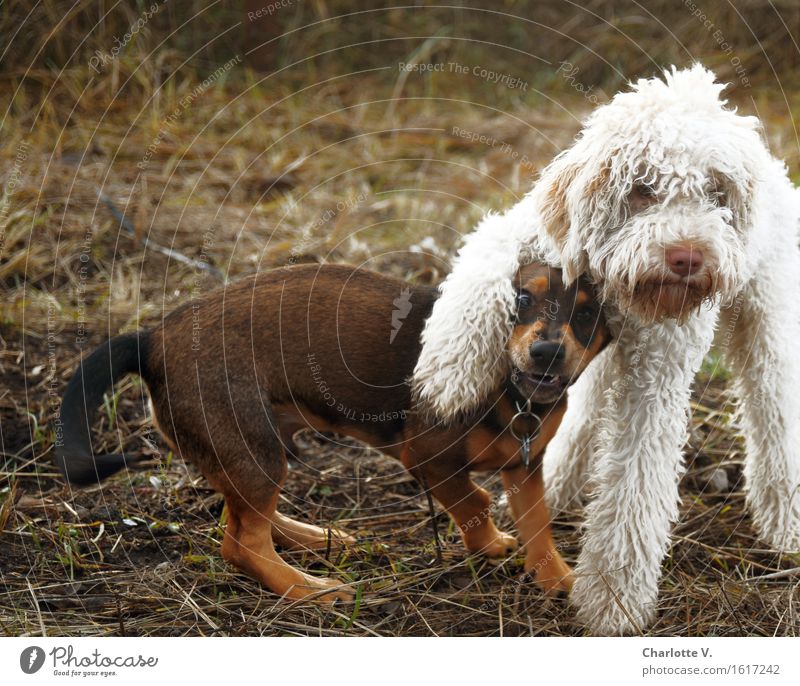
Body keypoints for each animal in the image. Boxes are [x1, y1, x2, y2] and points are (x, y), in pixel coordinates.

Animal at [56, 262, 608, 600]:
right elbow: (474, 501)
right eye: (521, 300)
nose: (547, 353)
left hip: (250, 448)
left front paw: (556, 577)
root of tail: (150, 338)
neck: (514, 392)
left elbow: (537, 521)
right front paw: (489, 544)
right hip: (254, 448)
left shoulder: (525, 464)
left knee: (242, 519)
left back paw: (321, 539)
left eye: (586, 313)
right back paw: (310, 591)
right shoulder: (427, 457)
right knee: (239, 544)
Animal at [412, 64, 800, 636]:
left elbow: (634, 482)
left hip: (765, 323)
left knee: (773, 412)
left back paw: (784, 518)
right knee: (588, 406)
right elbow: (485, 265)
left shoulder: (656, 372)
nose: (688, 258)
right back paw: (557, 482)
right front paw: (450, 369)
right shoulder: (535, 231)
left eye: (716, 193)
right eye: (642, 188)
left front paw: (612, 597)